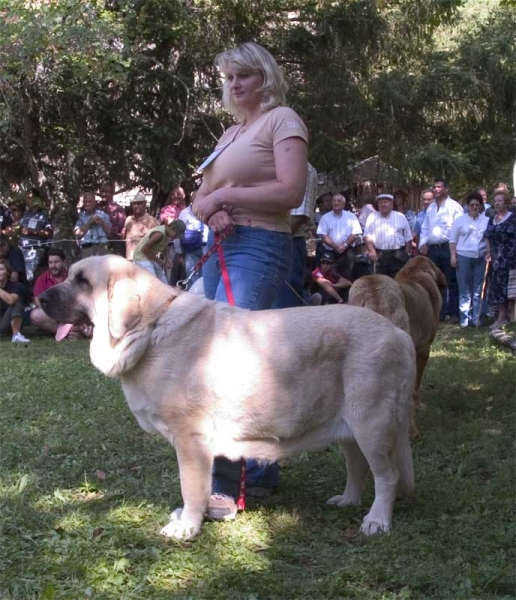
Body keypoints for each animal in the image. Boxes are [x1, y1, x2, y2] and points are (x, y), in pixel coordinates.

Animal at [42, 255, 418, 540]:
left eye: (82, 281)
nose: (42, 299)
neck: (150, 329)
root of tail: (397, 333)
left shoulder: (191, 441)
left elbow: (192, 488)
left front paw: (187, 527)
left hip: (371, 424)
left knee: (387, 476)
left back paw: (377, 520)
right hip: (349, 427)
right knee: (357, 466)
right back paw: (349, 500)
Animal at [350, 254, 448, 436]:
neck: (415, 271)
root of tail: (373, 291)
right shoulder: (423, 350)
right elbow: (416, 386)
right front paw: (418, 406)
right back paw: (411, 431)